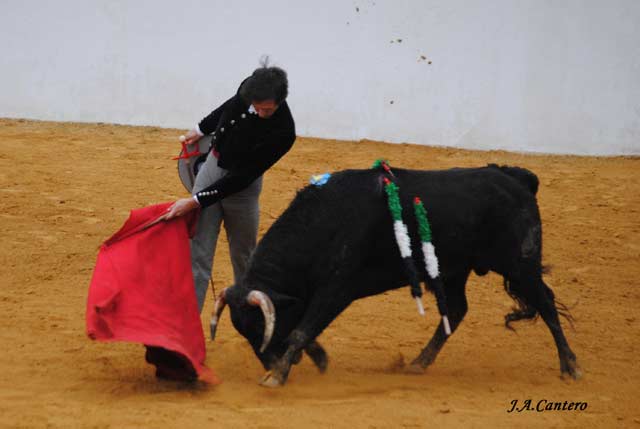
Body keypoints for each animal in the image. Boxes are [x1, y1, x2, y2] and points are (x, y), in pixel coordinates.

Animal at [210, 164, 580, 384]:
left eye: (259, 326)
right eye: (245, 331)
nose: (268, 365)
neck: (322, 221)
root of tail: (517, 178)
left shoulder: (337, 287)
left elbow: (302, 329)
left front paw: (279, 375)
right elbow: (305, 328)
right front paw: (315, 358)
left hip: (521, 265)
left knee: (546, 303)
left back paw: (570, 366)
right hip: (452, 271)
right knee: (457, 309)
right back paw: (419, 362)